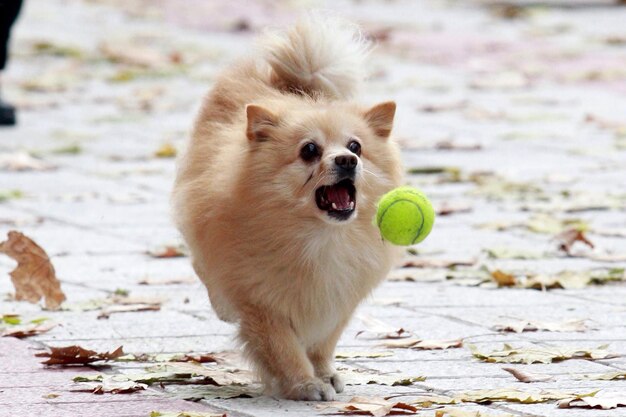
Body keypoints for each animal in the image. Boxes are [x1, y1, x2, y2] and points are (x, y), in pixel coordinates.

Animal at [173, 15, 402, 400]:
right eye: (309, 150)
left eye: (355, 146)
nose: (347, 159)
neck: (320, 238)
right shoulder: (261, 301)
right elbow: (283, 346)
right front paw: (304, 383)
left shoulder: (338, 299)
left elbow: (322, 343)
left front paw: (323, 374)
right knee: (204, 268)